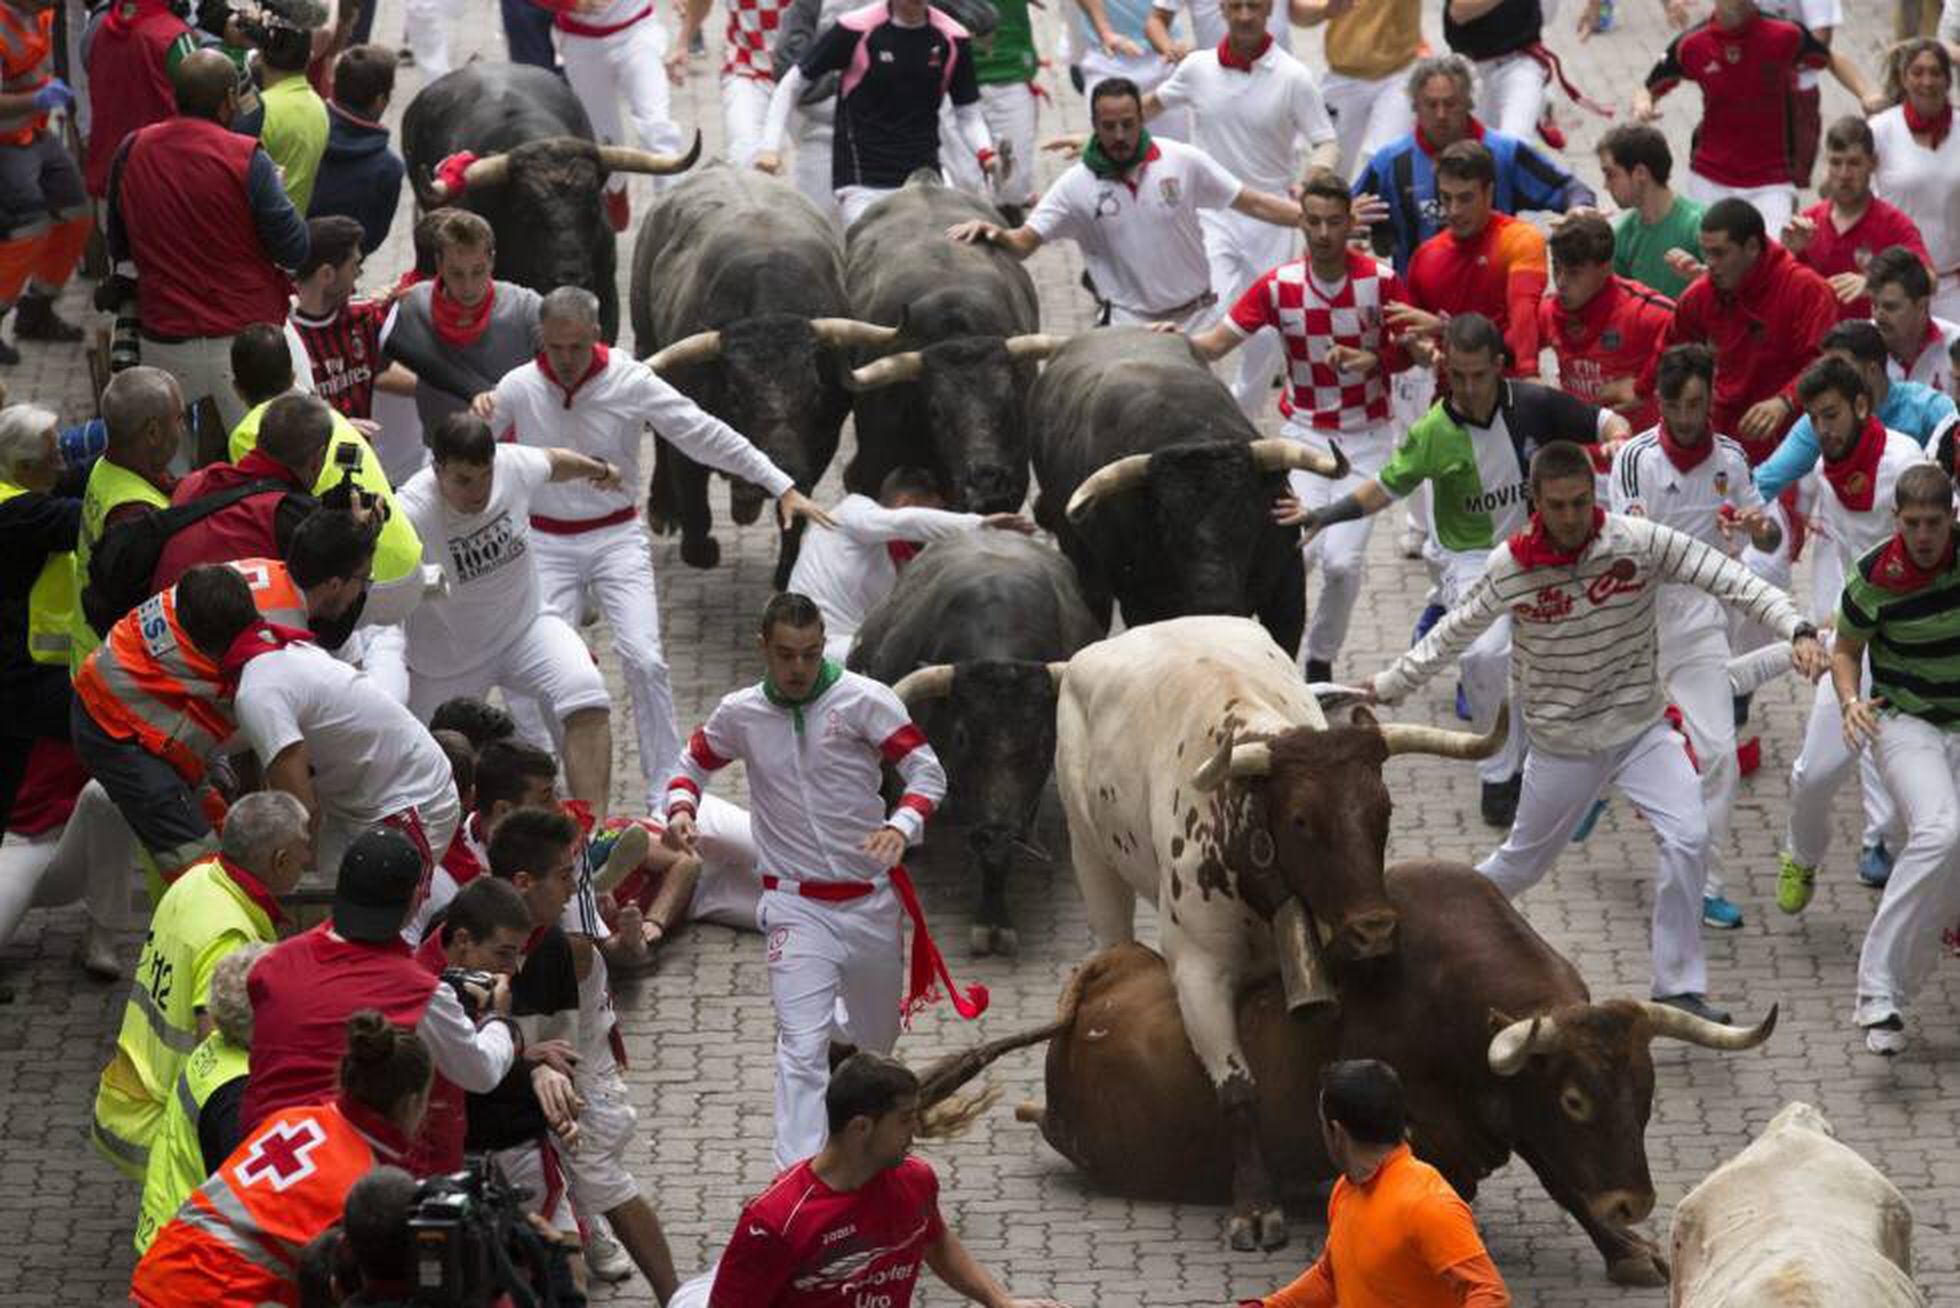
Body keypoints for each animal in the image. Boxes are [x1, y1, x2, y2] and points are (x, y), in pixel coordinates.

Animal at [635, 167, 897, 584]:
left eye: (815, 392)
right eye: (735, 396)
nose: (783, 464)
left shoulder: (821, 443)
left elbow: (797, 507)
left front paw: (787, 570)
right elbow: (694, 505)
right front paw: (702, 544)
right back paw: (665, 507)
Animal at [1027, 327, 1348, 654]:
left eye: (1247, 510)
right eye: (1165, 519)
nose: (1215, 604)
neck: (1192, 433)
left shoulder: (1287, 592)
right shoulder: (1141, 602)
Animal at [1058, 623, 1497, 1255]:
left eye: (1383, 812)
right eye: (1300, 820)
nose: (1375, 928)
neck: (1238, 825)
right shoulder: (1198, 973)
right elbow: (1239, 1089)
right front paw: (1255, 1205)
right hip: (1091, 857)